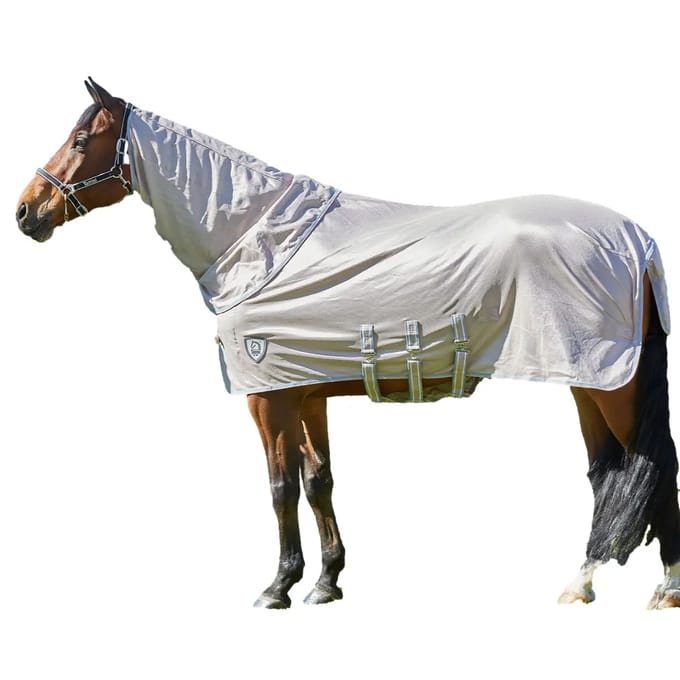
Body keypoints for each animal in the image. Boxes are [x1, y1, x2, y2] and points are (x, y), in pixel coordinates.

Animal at [16, 78, 680, 610]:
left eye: (81, 139)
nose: (25, 212)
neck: (257, 240)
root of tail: (639, 242)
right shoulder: (305, 392)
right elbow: (319, 481)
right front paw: (325, 582)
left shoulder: (269, 400)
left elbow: (281, 488)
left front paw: (277, 586)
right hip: (586, 382)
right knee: (606, 473)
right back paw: (581, 584)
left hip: (611, 385)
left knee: (658, 466)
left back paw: (665, 589)